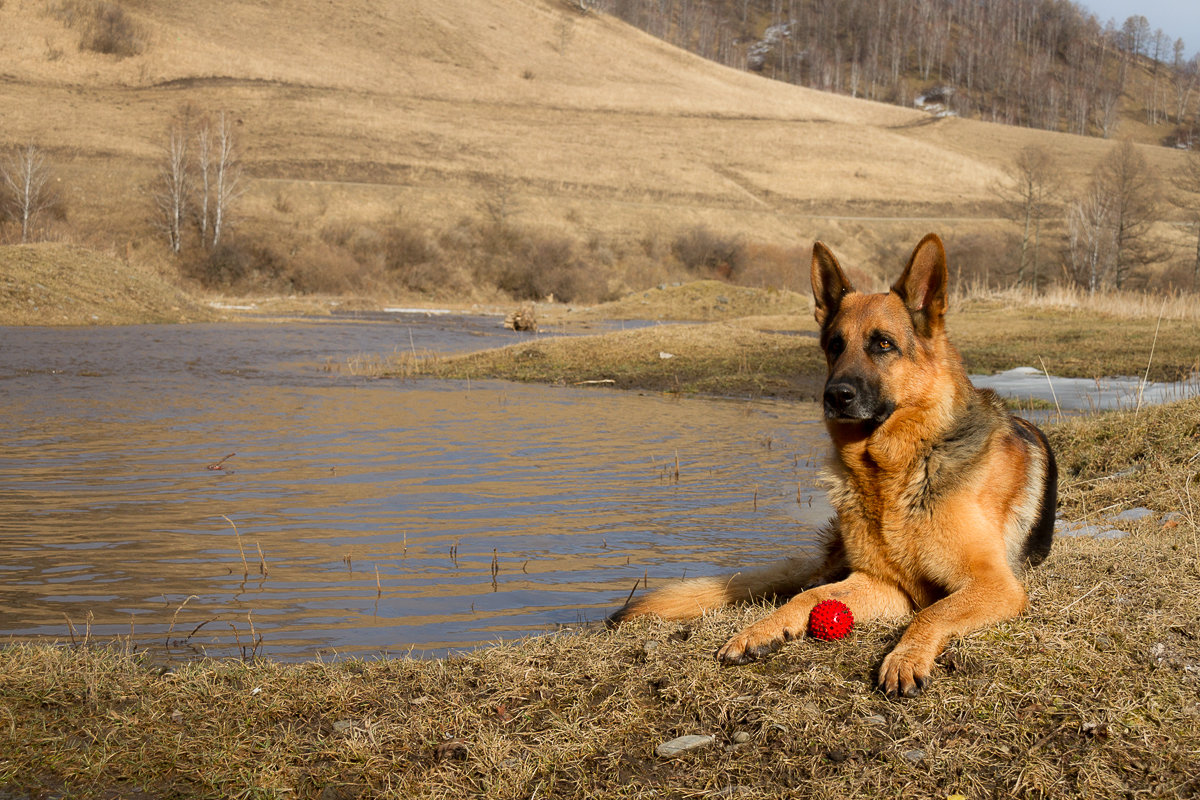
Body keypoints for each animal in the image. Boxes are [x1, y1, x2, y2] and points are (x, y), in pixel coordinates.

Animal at [614, 235, 1056, 695]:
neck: (897, 470)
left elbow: (933, 612)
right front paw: (761, 630)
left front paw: (905, 657)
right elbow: (810, 598)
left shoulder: (995, 585)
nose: (835, 396)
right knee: (806, 583)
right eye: (834, 346)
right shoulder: (885, 583)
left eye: (883, 344)